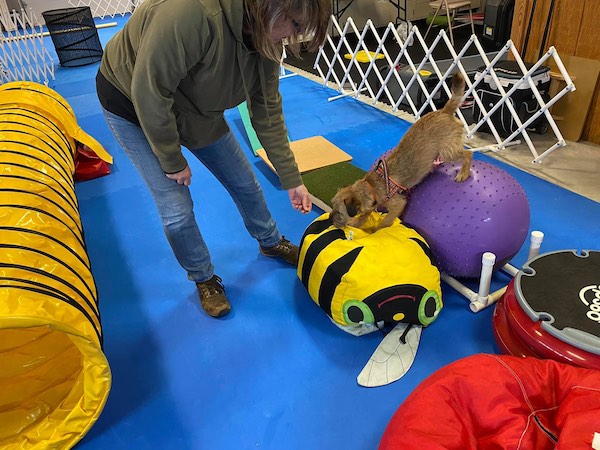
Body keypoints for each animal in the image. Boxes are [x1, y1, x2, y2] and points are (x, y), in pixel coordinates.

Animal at [330, 73, 472, 232]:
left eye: (339, 213)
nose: (330, 219)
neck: (372, 187)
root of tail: (445, 111)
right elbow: (365, 214)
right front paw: (358, 222)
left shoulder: (397, 205)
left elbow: (385, 222)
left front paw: (376, 231)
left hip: (448, 151)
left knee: (468, 154)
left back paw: (463, 173)